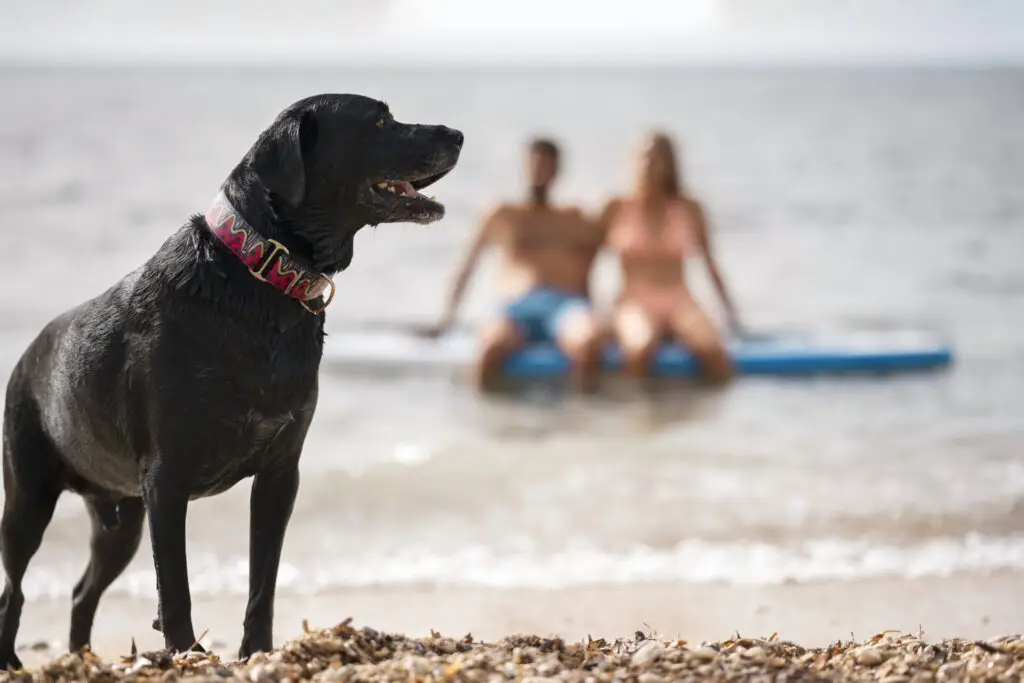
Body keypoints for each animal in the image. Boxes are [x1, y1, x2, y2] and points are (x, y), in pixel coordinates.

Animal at [0, 92, 464, 667]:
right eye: (380, 121)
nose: (458, 135)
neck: (262, 278)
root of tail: (27, 355)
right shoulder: (167, 481)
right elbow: (175, 586)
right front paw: (187, 654)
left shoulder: (279, 473)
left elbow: (263, 580)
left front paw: (257, 653)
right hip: (28, 498)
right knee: (14, 589)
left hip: (121, 519)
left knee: (82, 591)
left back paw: (82, 658)